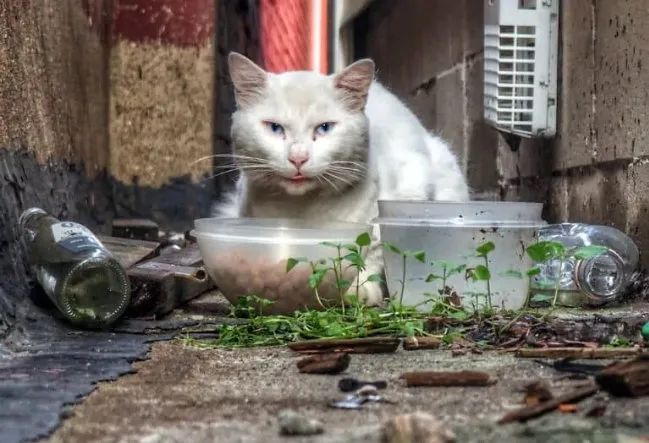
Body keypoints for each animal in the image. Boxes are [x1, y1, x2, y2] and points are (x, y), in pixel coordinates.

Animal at [215, 53, 468, 306]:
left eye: (325, 128)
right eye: (275, 128)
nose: (298, 158)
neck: (302, 208)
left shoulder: (401, 199)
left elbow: (371, 255)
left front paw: (359, 290)